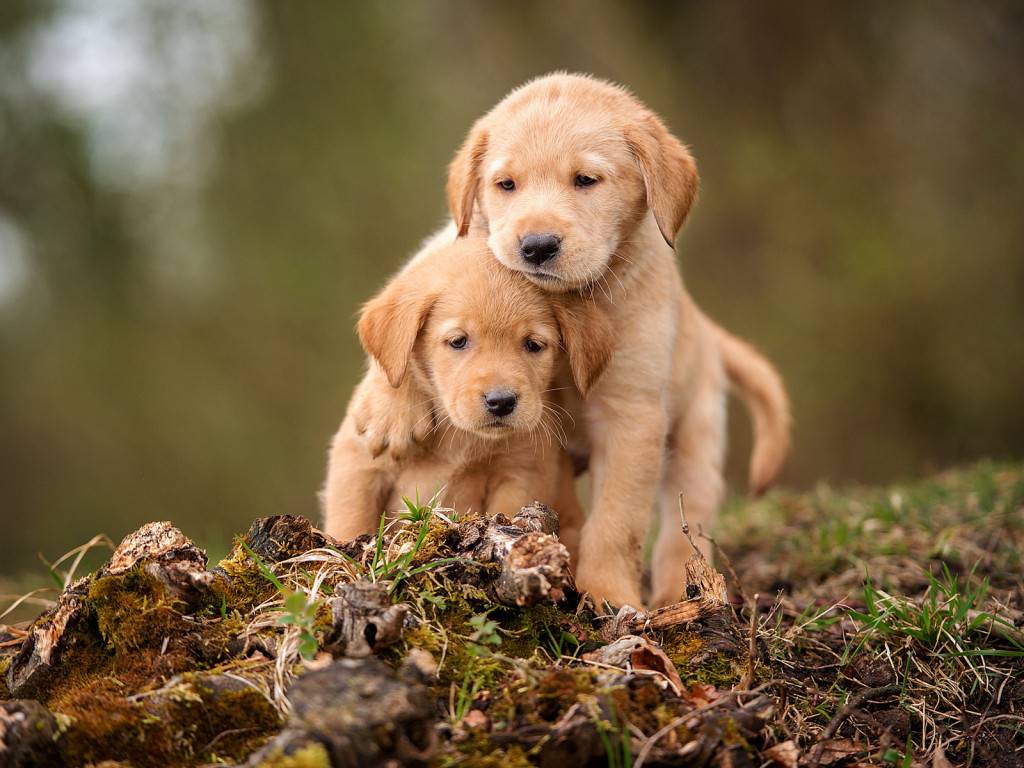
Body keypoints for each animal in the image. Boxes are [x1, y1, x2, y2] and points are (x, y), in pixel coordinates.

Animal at [319, 237, 606, 557]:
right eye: (458, 341)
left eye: (533, 344)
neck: (461, 438)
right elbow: (350, 522)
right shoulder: (357, 465)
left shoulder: (522, 474)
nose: (501, 402)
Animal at [348, 73, 786, 614]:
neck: (576, 296)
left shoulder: (631, 416)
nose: (536, 246)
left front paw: (608, 595)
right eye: (506, 185)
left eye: (585, 180)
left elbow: (616, 523)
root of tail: (704, 326)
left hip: (695, 442)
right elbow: (411, 296)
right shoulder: (460, 243)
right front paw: (390, 407)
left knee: (682, 535)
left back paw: (679, 599)